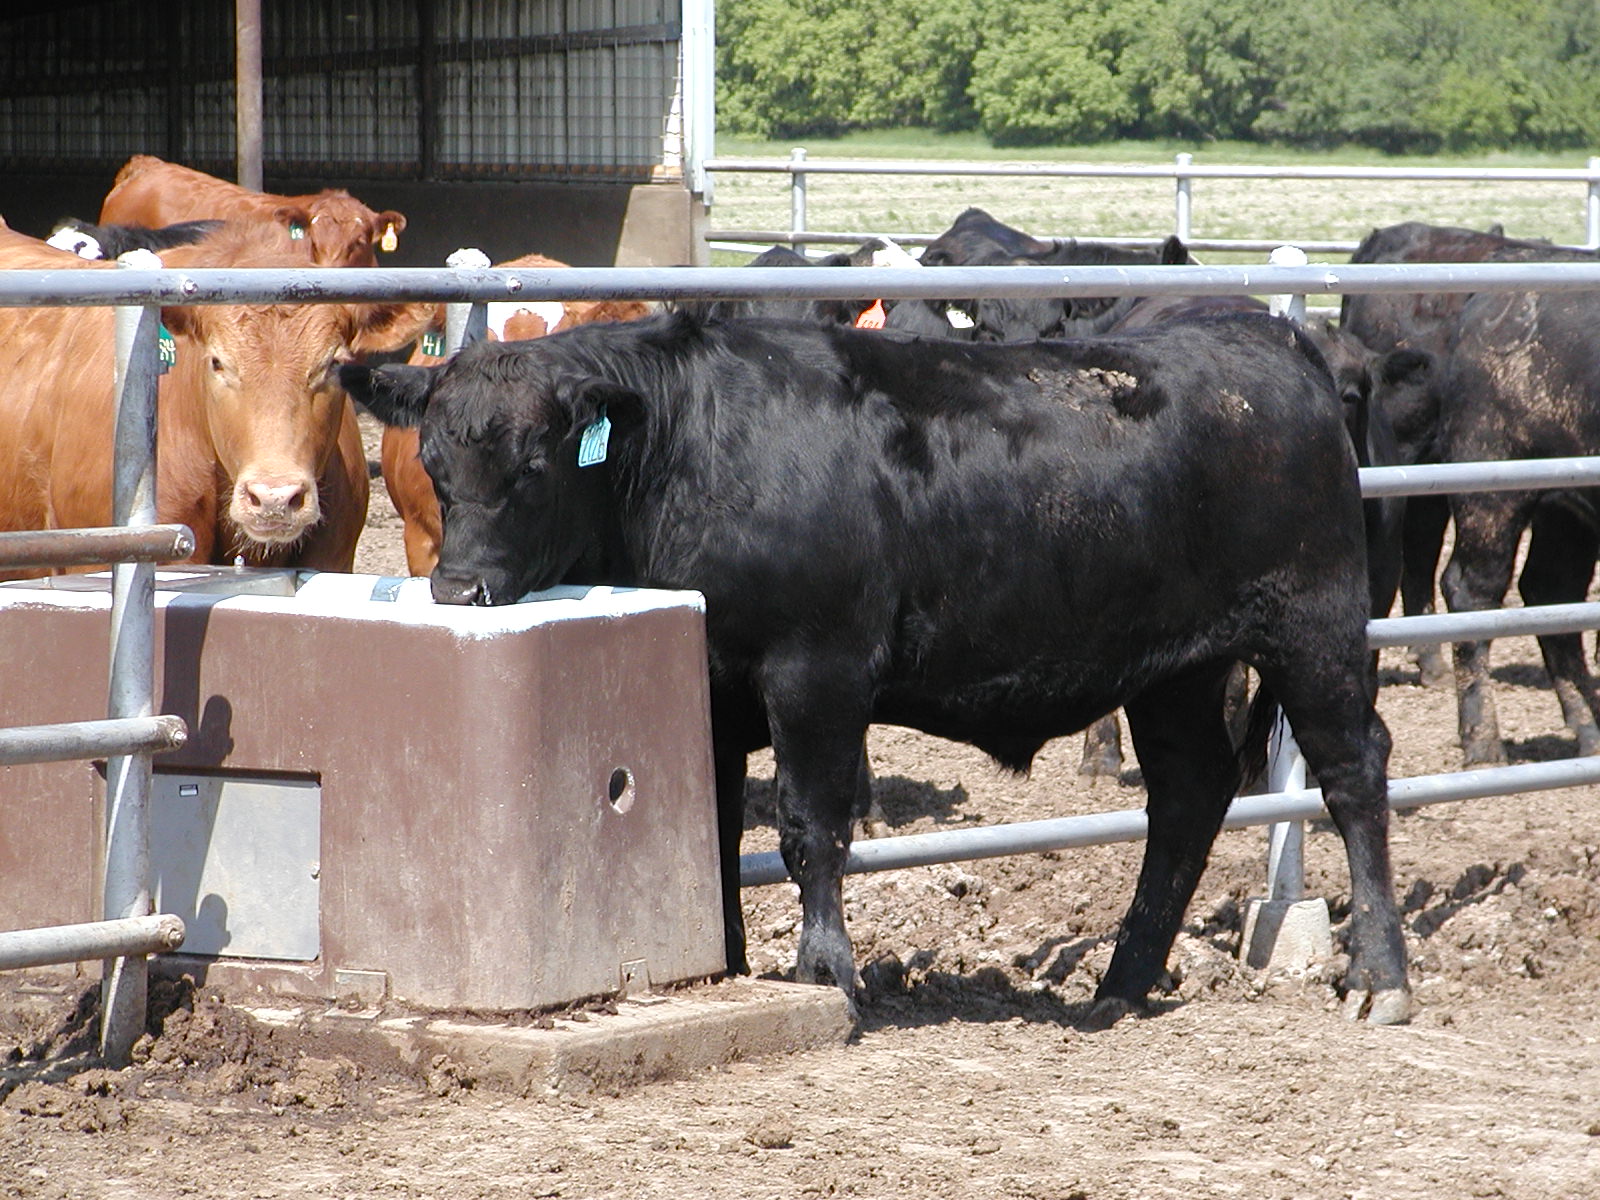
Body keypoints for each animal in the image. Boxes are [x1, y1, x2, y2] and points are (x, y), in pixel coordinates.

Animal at [340, 307, 1414, 1024]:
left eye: (535, 466)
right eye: (433, 465)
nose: (460, 589)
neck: (693, 451)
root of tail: (1267, 337)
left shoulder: (817, 671)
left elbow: (811, 827)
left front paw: (826, 973)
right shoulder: (713, 688)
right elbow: (714, 833)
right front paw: (728, 962)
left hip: (1315, 627)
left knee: (1353, 771)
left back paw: (1380, 977)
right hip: (1176, 673)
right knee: (1189, 795)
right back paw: (1117, 987)